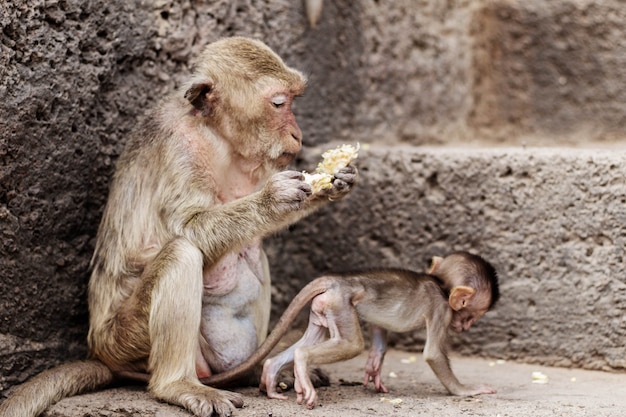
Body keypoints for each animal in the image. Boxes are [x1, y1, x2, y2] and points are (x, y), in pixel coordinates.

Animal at [1, 36, 356, 416]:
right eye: (278, 103)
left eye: (292, 100)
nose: (296, 133)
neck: (216, 135)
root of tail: (100, 353)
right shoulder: (180, 145)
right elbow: (189, 227)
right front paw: (272, 199)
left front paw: (333, 182)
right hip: (125, 340)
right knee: (181, 254)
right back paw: (178, 385)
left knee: (252, 252)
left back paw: (252, 371)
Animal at [204, 250, 498, 406]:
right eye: (472, 316)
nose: (465, 327)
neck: (440, 284)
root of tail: (336, 280)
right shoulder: (441, 310)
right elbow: (434, 354)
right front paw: (467, 390)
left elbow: (379, 328)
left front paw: (374, 367)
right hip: (340, 304)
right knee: (346, 345)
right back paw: (302, 366)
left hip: (322, 307)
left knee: (308, 341)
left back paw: (272, 371)